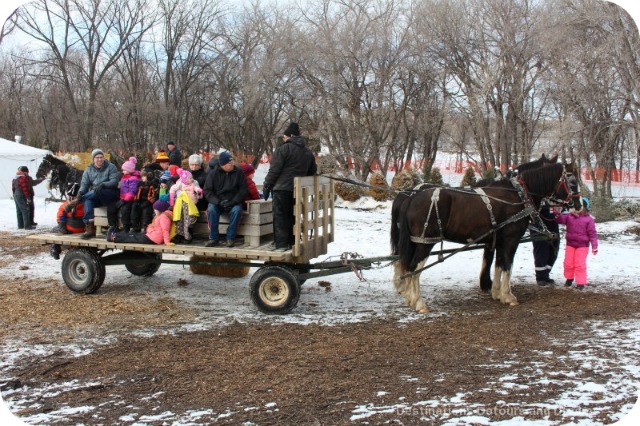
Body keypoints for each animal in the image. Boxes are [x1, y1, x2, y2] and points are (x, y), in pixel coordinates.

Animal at [392, 161, 584, 312]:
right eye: (572, 181)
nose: (579, 205)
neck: (518, 194)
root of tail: (411, 197)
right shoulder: (511, 239)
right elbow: (507, 265)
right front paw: (508, 296)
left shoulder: (499, 240)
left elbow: (498, 264)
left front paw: (497, 293)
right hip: (424, 242)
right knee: (414, 267)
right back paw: (418, 302)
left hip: (414, 242)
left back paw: (409, 296)